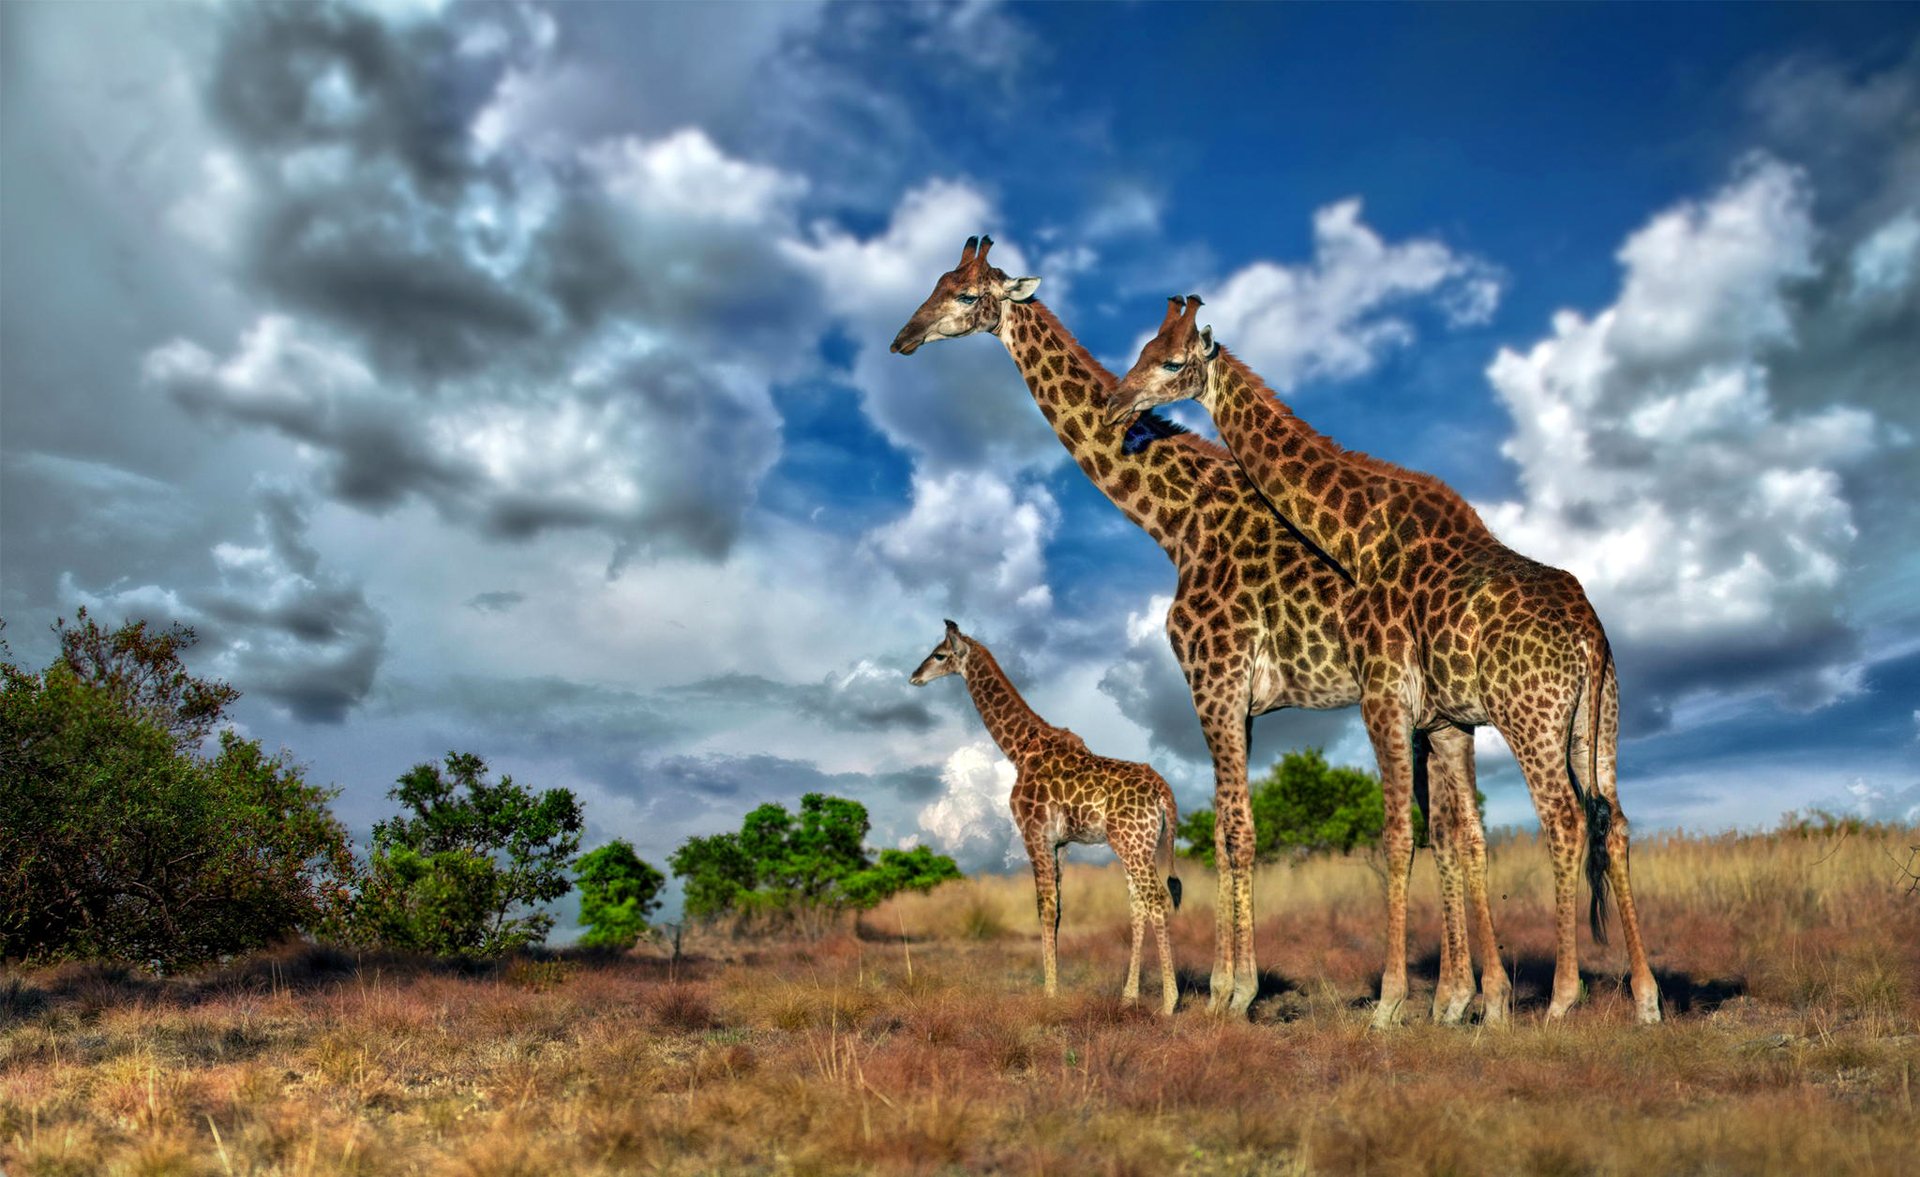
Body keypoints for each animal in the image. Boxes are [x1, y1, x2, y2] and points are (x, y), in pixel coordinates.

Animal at [910, 620, 1183, 1013]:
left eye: (939, 654)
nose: (914, 676)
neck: (1019, 748)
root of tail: (1165, 792)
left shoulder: (1033, 831)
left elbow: (1044, 907)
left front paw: (1049, 992)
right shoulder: (1061, 843)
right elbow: (1058, 910)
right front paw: (1056, 987)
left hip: (1131, 841)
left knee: (1157, 900)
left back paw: (1169, 1002)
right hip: (1138, 844)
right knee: (1139, 905)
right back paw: (1128, 996)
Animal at [1107, 296, 1662, 1025]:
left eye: (1171, 361)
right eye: (1143, 349)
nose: (1117, 404)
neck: (1358, 534)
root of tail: (1589, 633)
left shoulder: (1384, 696)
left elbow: (1399, 836)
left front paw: (1391, 1005)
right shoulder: (1439, 717)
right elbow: (1452, 837)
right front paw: (1463, 1002)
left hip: (1530, 719)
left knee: (1566, 823)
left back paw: (1563, 999)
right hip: (1596, 724)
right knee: (1615, 824)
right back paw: (1646, 998)